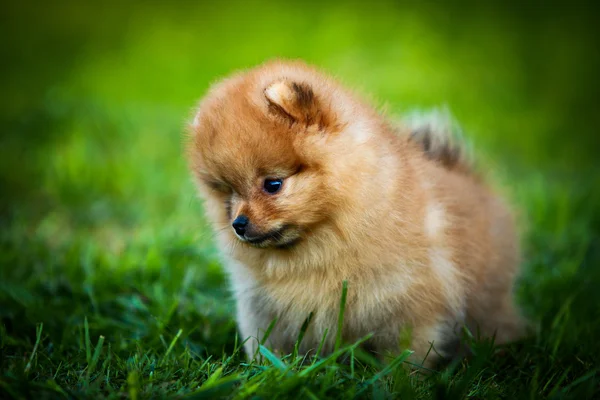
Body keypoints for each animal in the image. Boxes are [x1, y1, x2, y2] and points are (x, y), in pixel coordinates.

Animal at [186, 60, 524, 368]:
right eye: (228, 194)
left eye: (273, 185)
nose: (238, 224)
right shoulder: (262, 310)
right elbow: (267, 347)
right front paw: (267, 374)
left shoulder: (410, 306)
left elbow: (405, 356)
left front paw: (398, 383)